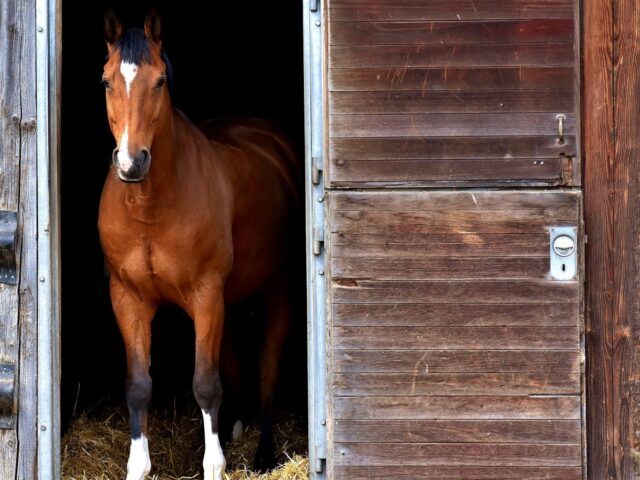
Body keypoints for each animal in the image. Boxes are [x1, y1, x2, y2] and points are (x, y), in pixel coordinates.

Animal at [97, 10, 300, 480]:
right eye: (106, 81)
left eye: (159, 81)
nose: (131, 163)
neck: (151, 209)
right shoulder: (128, 298)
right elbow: (138, 386)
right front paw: (137, 466)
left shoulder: (206, 296)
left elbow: (206, 384)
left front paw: (215, 465)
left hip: (276, 288)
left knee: (267, 368)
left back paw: (264, 453)